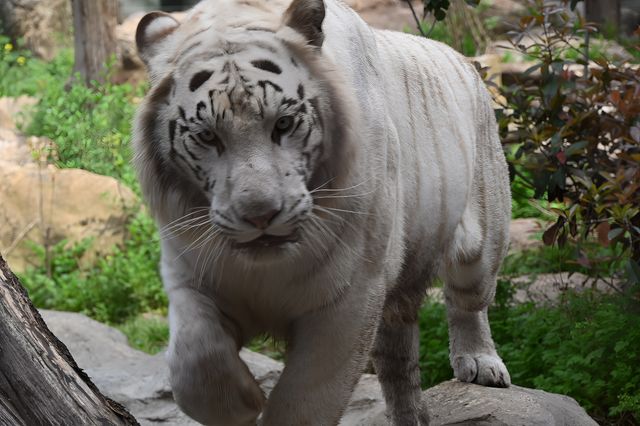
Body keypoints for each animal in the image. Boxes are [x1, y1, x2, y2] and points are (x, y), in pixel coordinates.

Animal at [134, 0, 510, 424]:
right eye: (207, 136)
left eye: (283, 123)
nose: (260, 215)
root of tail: (463, 58)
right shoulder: (190, 272)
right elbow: (194, 359)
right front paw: (238, 404)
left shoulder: (351, 293)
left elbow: (305, 398)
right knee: (398, 357)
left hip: (483, 238)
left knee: (468, 299)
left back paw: (481, 365)